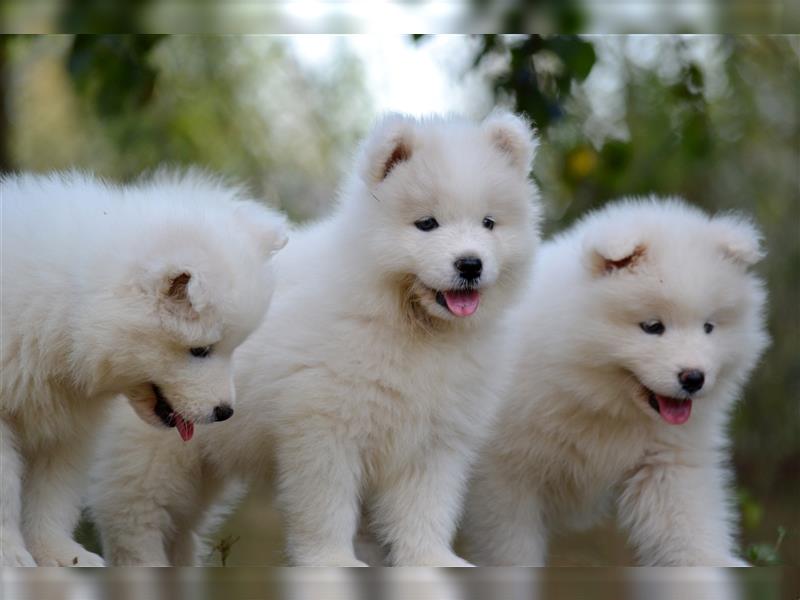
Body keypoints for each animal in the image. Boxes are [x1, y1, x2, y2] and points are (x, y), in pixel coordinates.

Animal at [0, 171, 288, 564]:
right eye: (200, 350)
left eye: (233, 347)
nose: (225, 413)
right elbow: (6, 488)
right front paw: (11, 555)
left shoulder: (69, 425)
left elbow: (53, 490)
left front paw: (60, 554)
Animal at [90, 112, 544, 568]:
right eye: (427, 223)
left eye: (488, 223)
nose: (470, 264)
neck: (410, 327)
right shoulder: (324, 426)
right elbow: (327, 506)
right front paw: (333, 561)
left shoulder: (436, 437)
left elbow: (426, 507)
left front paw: (432, 560)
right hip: (155, 446)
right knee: (136, 512)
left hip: (203, 457)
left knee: (180, 524)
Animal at [462, 198, 768, 568]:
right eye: (652, 326)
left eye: (709, 327)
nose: (694, 378)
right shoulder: (504, 475)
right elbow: (511, 550)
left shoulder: (667, 462)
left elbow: (690, 531)